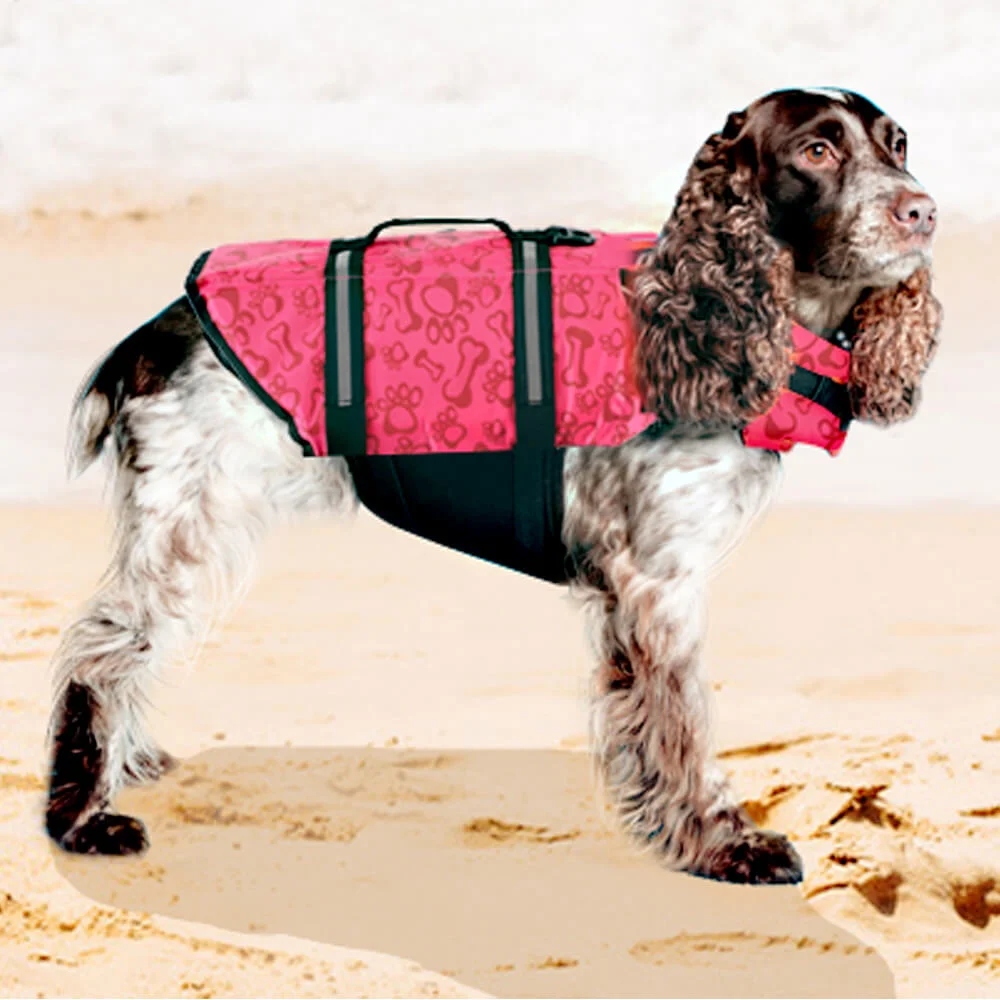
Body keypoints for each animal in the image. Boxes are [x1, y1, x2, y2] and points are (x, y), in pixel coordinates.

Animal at [46, 87, 941, 883]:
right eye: (816, 150)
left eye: (897, 143)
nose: (924, 211)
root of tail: (156, 329)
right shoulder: (659, 582)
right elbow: (683, 728)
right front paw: (721, 846)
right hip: (191, 519)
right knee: (100, 650)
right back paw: (80, 819)